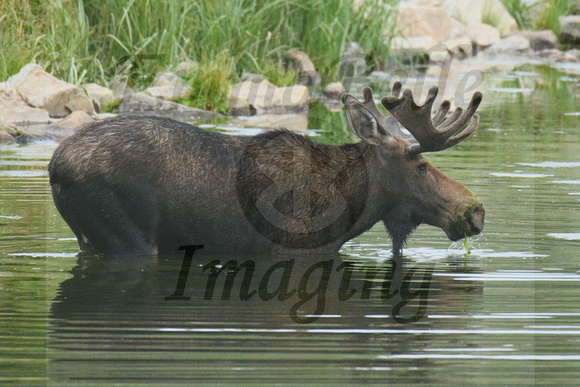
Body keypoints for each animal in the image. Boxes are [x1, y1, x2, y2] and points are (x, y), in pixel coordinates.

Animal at [48, 83, 484, 256]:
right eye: (421, 165)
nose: (476, 210)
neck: (353, 209)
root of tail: (54, 168)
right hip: (127, 237)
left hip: (90, 237)